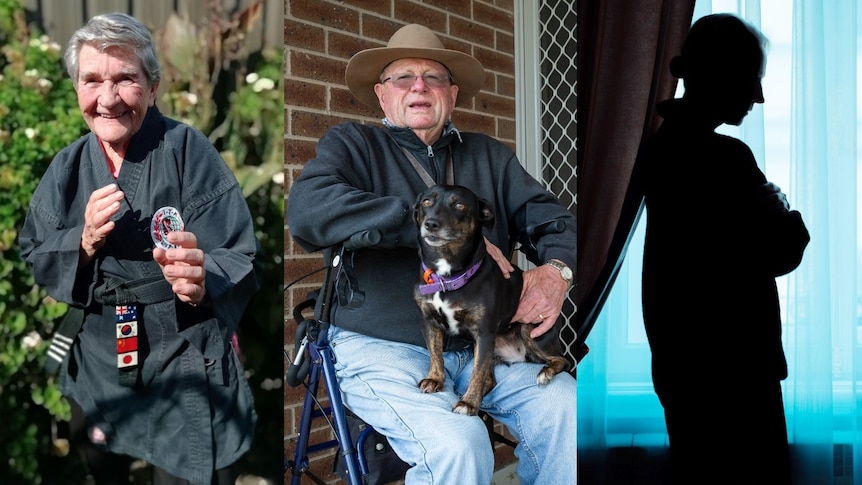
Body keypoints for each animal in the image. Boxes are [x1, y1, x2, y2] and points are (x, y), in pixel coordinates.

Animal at [414, 183, 572, 414]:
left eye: (459, 205)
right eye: (426, 201)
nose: (431, 224)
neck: (447, 277)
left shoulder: (485, 333)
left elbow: (476, 374)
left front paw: (468, 403)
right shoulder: (429, 322)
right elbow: (436, 354)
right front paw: (435, 378)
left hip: (531, 330)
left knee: (563, 360)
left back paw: (546, 372)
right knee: (490, 380)